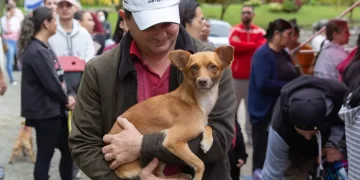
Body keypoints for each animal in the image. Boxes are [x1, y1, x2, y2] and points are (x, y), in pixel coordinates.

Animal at [108, 45, 235, 179]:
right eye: (194, 67)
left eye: (213, 66)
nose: (202, 81)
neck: (197, 101)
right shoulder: (173, 141)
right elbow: (200, 164)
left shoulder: (199, 125)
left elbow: (207, 126)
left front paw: (206, 142)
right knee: (159, 175)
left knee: (161, 175)